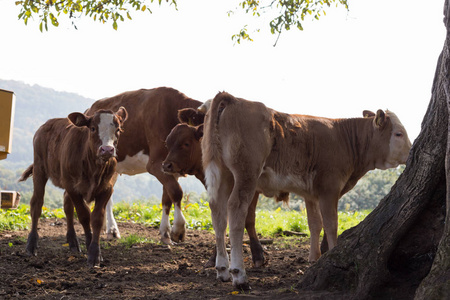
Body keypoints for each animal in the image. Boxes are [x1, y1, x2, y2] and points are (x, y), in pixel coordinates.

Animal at [84, 87, 202, 244]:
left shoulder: (170, 167)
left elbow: (167, 198)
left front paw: (165, 233)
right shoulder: (155, 164)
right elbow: (177, 192)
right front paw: (178, 229)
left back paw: (105, 227)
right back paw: (112, 230)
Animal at [202, 91, 414, 288]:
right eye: (398, 133)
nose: (411, 152)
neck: (344, 138)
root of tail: (234, 99)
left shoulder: (311, 194)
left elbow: (315, 224)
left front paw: (314, 258)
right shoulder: (329, 189)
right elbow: (331, 224)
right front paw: (331, 254)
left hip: (224, 175)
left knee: (218, 213)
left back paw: (222, 269)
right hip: (246, 174)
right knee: (235, 210)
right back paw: (239, 275)